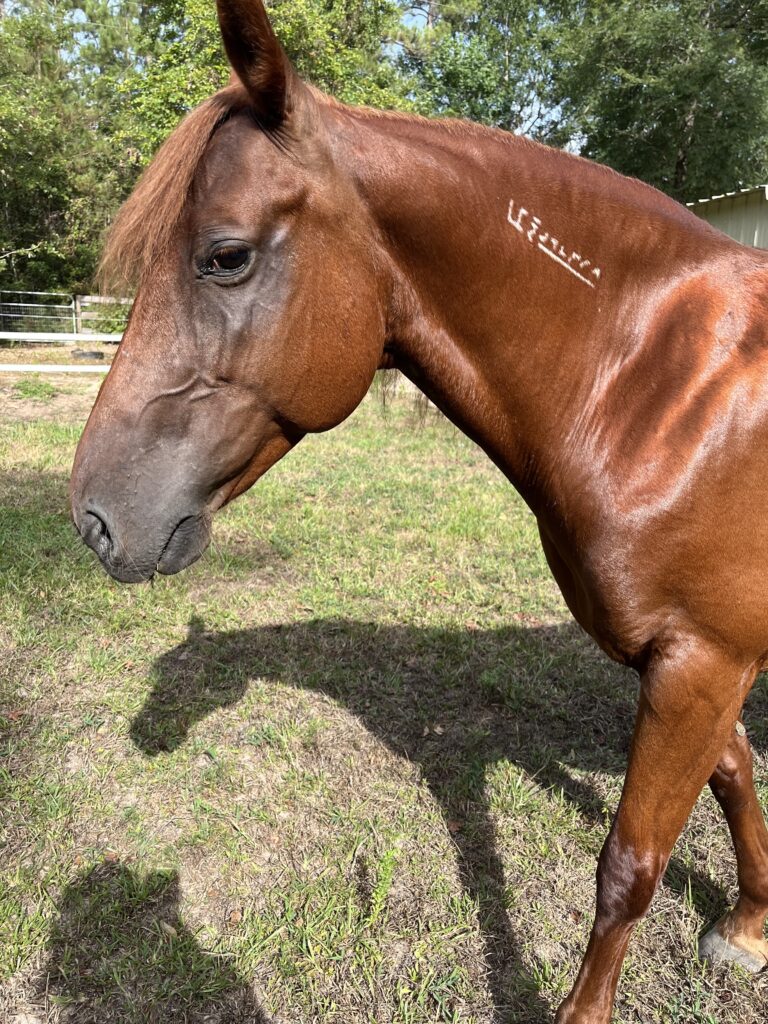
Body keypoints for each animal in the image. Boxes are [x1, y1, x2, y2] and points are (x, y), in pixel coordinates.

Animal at [70, 2, 768, 1015]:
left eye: (225, 256)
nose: (95, 518)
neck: (666, 388)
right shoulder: (699, 663)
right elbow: (738, 778)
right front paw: (750, 925)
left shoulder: (702, 662)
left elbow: (630, 864)